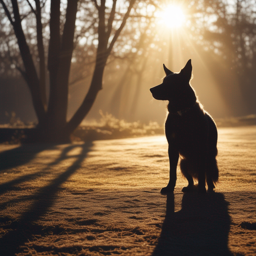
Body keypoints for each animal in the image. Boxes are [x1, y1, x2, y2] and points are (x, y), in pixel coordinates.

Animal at [150, 59, 218, 192]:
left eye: (169, 83)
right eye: (163, 81)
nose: (151, 89)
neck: (182, 112)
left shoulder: (202, 147)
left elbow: (202, 173)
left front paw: (202, 190)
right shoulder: (172, 147)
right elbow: (172, 172)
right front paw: (169, 187)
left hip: (210, 160)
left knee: (207, 176)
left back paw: (208, 187)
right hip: (183, 164)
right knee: (191, 179)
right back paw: (189, 187)